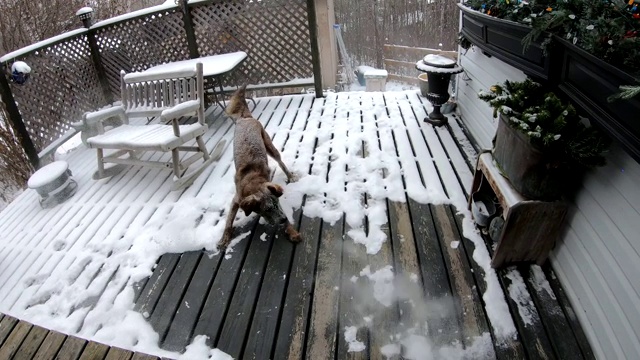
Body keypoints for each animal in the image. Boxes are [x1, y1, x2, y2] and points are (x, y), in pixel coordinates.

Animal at [219, 86, 302, 252]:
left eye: (277, 203)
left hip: (270, 146)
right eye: (267, 209)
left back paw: (290, 176)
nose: (283, 219)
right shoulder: (236, 200)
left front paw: (292, 231)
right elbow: (228, 221)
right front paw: (224, 239)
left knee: (281, 162)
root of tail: (245, 118)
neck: (253, 184)